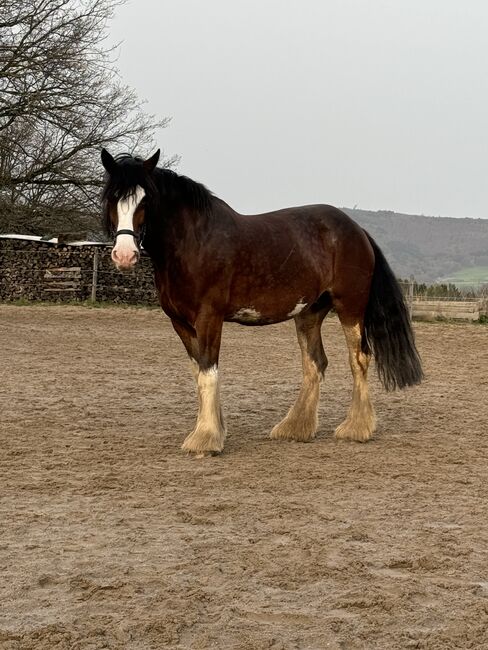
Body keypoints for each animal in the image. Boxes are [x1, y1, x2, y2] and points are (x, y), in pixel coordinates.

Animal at [100, 147, 424, 456]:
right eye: (112, 197)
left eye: (146, 199)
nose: (125, 255)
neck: (193, 243)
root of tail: (357, 231)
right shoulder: (179, 322)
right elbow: (199, 372)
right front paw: (214, 430)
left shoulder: (209, 318)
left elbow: (208, 371)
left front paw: (206, 440)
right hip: (309, 313)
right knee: (315, 363)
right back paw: (295, 427)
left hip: (350, 307)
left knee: (358, 359)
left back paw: (356, 428)